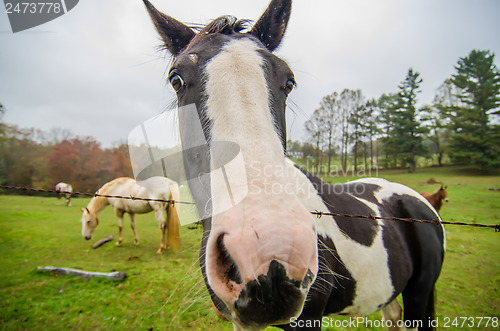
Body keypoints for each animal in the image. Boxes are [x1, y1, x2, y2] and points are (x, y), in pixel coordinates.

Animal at [143, 0, 444, 330]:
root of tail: (421, 201)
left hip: (419, 294)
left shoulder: (308, 317)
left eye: (288, 82)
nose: (269, 260)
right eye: (176, 80)